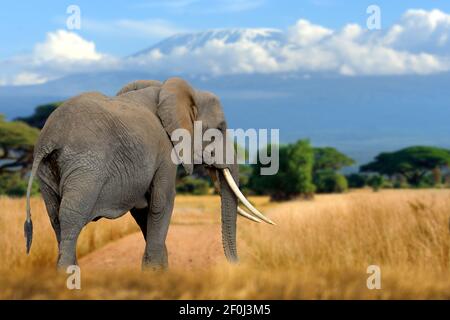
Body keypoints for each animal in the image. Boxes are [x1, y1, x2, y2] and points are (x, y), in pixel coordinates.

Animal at [23, 77, 274, 270]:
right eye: (220, 128)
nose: (237, 265)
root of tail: (50, 136)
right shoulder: (164, 151)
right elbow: (162, 202)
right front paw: (155, 272)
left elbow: (144, 210)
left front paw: (158, 272)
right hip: (86, 165)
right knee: (71, 215)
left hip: (48, 171)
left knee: (55, 216)